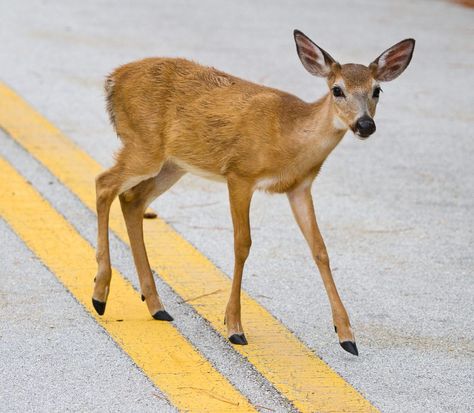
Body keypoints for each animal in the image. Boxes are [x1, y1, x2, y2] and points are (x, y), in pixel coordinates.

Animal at [92, 30, 414, 356]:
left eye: (377, 90)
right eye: (337, 90)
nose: (365, 125)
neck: (289, 138)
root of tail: (112, 79)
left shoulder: (300, 187)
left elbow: (320, 249)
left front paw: (346, 335)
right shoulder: (240, 174)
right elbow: (242, 244)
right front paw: (234, 326)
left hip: (173, 164)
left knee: (132, 199)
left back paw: (156, 305)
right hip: (144, 146)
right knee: (104, 183)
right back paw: (101, 293)